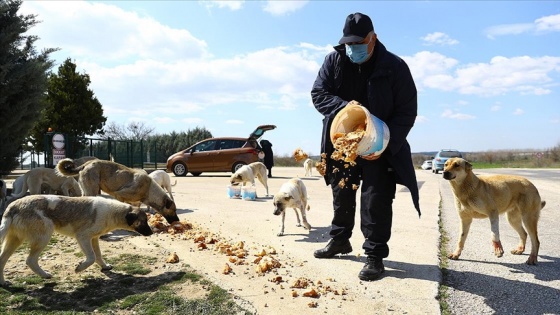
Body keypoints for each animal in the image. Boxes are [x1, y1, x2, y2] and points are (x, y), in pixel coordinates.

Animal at [0, 195, 153, 286]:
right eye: (143, 222)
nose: (151, 232)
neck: (114, 213)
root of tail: (13, 206)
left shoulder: (94, 238)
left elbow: (98, 255)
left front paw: (104, 266)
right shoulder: (83, 237)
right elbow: (91, 257)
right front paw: (79, 268)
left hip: (15, 240)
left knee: (2, 259)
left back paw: (3, 282)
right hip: (44, 236)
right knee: (30, 260)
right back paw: (45, 275)